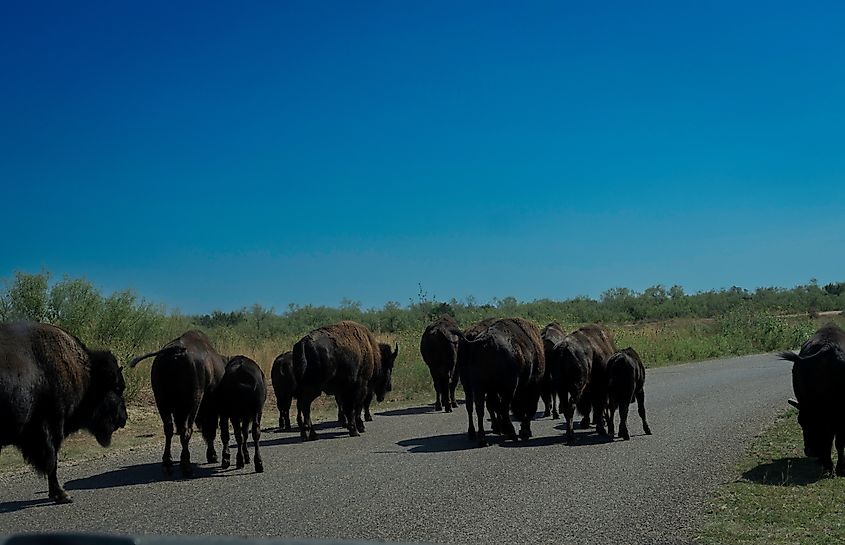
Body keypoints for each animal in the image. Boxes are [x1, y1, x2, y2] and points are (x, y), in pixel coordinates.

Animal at [129, 330, 226, 476]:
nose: (212, 457)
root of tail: (175, 352)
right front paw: (212, 455)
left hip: (162, 401)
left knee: (169, 428)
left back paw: (167, 464)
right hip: (192, 402)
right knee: (186, 430)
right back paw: (186, 466)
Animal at [458, 317, 545, 446]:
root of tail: (484, 340)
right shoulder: (534, 384)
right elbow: (531, 408)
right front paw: (525, 431)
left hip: (472, 386)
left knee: (477, 407)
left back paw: (479, 437)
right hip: (508, 387)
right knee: (502, 407)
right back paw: (511, 433)